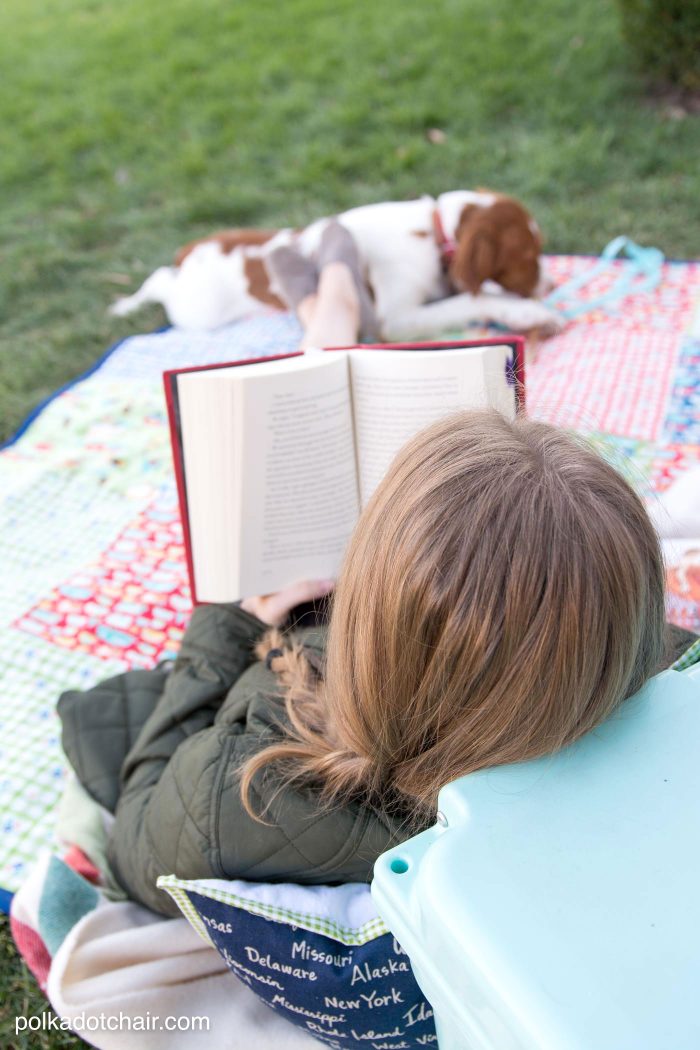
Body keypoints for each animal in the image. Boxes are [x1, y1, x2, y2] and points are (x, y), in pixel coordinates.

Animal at [112, 188, 566, 336]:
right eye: (529, 254)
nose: (552, 285)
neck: (434, 235)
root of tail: (191, 251)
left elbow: (473, 289)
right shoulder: (395, 318)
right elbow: (469, 300)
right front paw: (528, 312)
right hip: (196, 311)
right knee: (158, 279)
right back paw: (124, 304)